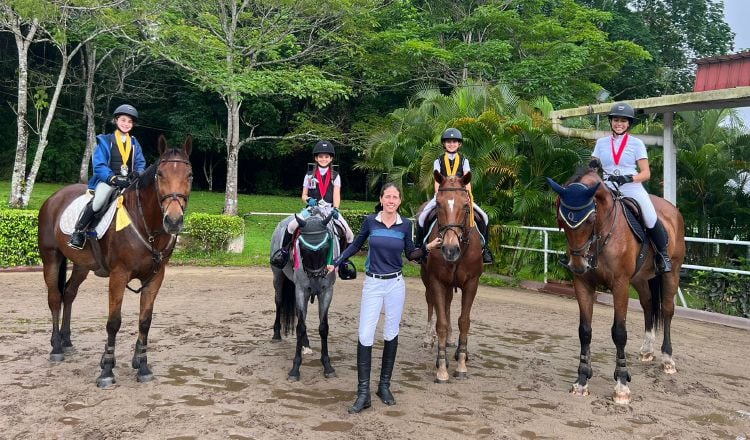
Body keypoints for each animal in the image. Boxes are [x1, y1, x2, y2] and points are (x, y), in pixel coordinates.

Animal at [37, 135, 194, 388]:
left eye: (189, 175)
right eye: (160, 174)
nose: (173, 221)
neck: (145, 223)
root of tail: (54, 198)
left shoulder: (155, 277)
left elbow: (145, 321)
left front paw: (142, 365)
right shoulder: (119, 275)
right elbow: (113, 322)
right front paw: (107, 370)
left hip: (81, 265)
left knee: (69, 293)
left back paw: (67, 341)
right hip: (51, 258)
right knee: (54, 298)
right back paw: (57, 348)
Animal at [420, 170, 484, 384]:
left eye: (465, 205)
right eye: (439, 204)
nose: (449, 250)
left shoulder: (472, 283)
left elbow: (464, 321)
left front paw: (462, 363)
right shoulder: (437, 281)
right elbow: (441, 323)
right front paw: (442, 368)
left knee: (448, 306)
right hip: (428, 280)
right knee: (432, 304)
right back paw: (429, 339)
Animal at [548, 166, 688, 406]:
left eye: (590, 219)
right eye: (561, 219)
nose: (578, 265)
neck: (602, 235)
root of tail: (672, 210)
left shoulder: (620, 285)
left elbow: (619, 332)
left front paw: (622, 385)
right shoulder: (582, 283)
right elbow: (584, 331)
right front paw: (582, 380)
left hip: (672, 272)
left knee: (668, 310)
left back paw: (667, 359)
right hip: (640, 279)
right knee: (648, 304)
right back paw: (646, 350)